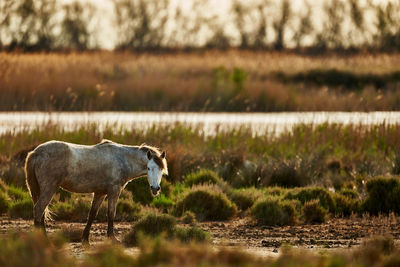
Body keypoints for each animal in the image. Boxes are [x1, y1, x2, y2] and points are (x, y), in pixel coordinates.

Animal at [23, 140, 167, 243]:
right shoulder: (114, 191)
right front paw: (112, 238)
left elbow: (92, 214)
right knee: (38, 209)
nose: (155, 188)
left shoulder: (100, 193)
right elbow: (111, 214)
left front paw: (85, 239)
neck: (122, 159)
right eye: (148, 168)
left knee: (41, 211)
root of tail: (35, 152)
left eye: (161, 169)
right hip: (49, 188)